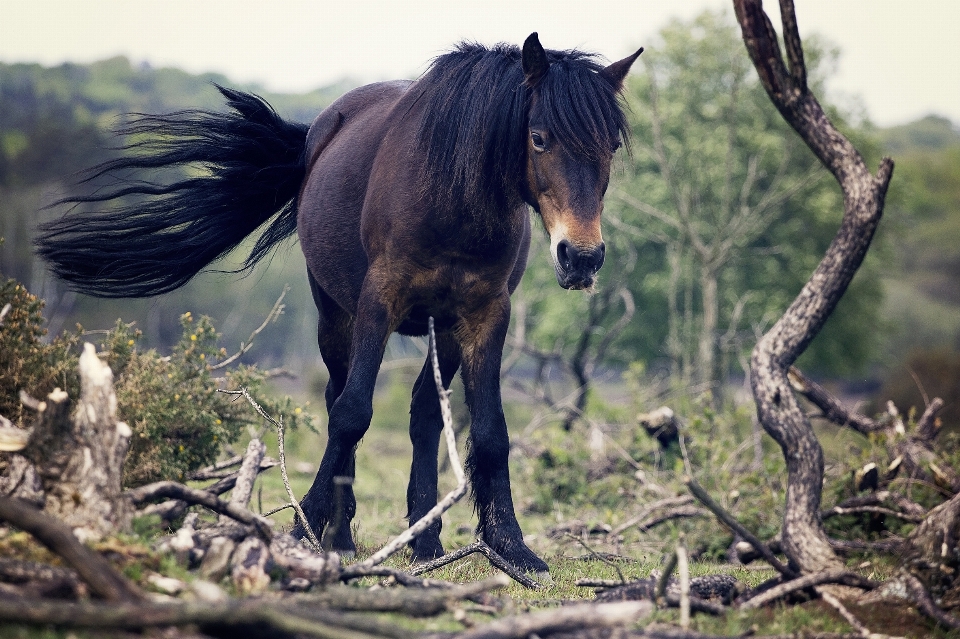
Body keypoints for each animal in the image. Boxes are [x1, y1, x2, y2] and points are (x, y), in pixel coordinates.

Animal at [37, 33, 640, 576]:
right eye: (538, 137)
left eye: (610, 146)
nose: (582, 257)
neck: (452, 199)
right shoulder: (378, 302)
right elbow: (352, 413)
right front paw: (303, 526)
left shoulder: (485, 313)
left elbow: (490, 430)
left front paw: (512, 547)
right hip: (335, 313)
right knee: (337, 398)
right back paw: (341, 534)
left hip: (440, 328)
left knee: (423, 412)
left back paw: (425, 540)